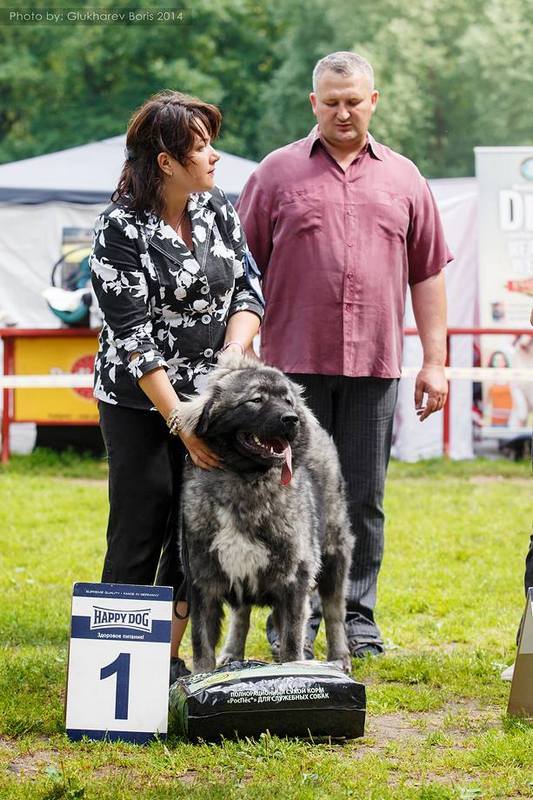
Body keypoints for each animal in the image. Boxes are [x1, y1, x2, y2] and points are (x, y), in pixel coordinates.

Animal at [178, 354, 354, 672]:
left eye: (287, 400)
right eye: (256, 400)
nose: (291, 419)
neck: (244, 480)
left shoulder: (294, 580)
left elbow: (292, 641)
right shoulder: (202, 581)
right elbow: (201, 644)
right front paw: (201, 677)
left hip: (335, 551)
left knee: (335, 609)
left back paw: (339, 657)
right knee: (242, 614)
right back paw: (233, 653)